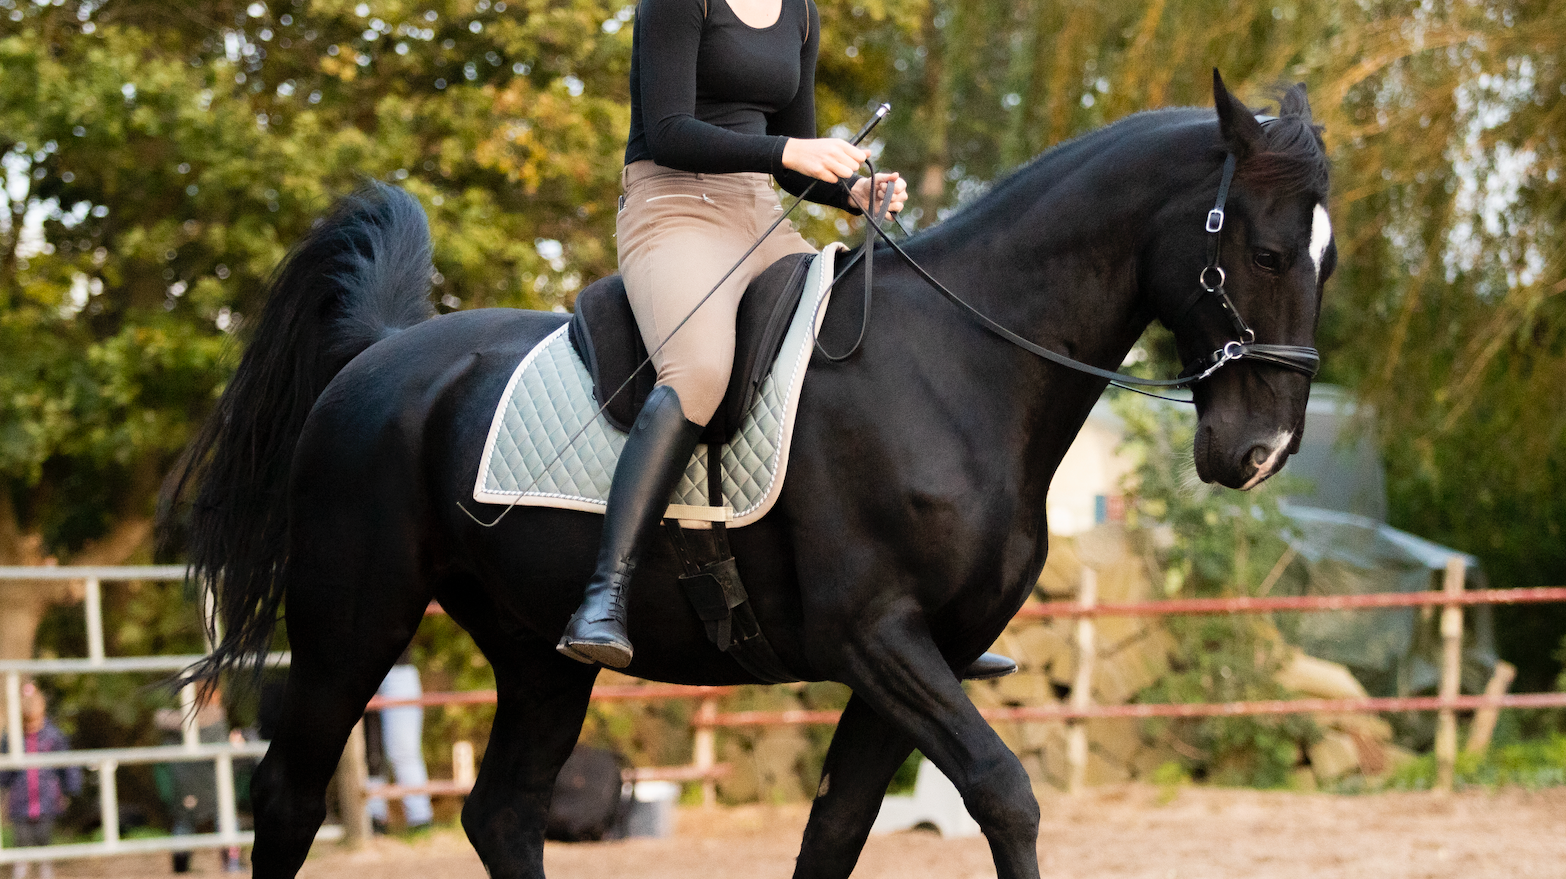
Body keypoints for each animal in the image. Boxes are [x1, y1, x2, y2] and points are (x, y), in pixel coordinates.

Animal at [162, 72, 1333, 879]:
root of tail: (383, 353)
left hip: (539, 655)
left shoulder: (924, 658)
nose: (1260, 453)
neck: (957, 366)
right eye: (1266, 254)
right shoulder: (877, 640)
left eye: (1327, 261)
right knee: (289, 797)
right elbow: (1005, 795)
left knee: (501, 812)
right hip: (352, 626)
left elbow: (836, 832)